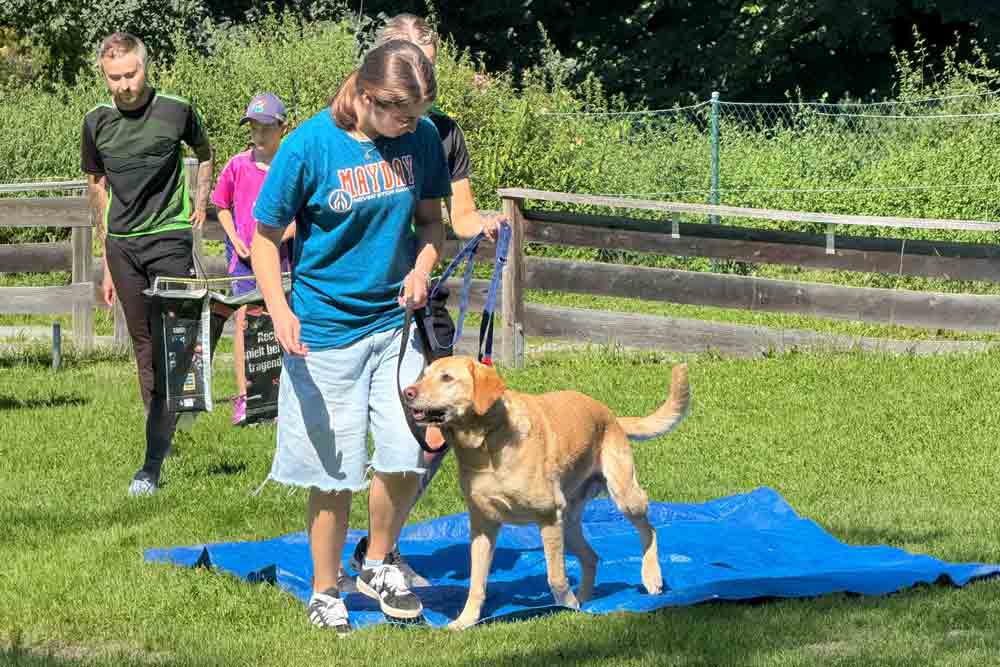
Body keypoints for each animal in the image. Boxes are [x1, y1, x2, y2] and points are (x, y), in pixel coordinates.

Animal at [402, 356, 691, 629]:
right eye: (424, 374)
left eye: (446, 377)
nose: (407, 392)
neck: (486, 443)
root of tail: (611, 416)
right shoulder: (483, 526)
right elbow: (476, 583)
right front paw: (466, 621)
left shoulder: (548, 517)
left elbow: (556, 576)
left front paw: (566, 607)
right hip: (570, 526)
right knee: (592, 557)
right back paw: (586, 603)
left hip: (623, 497)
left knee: (649, 530)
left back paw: (650, 577)